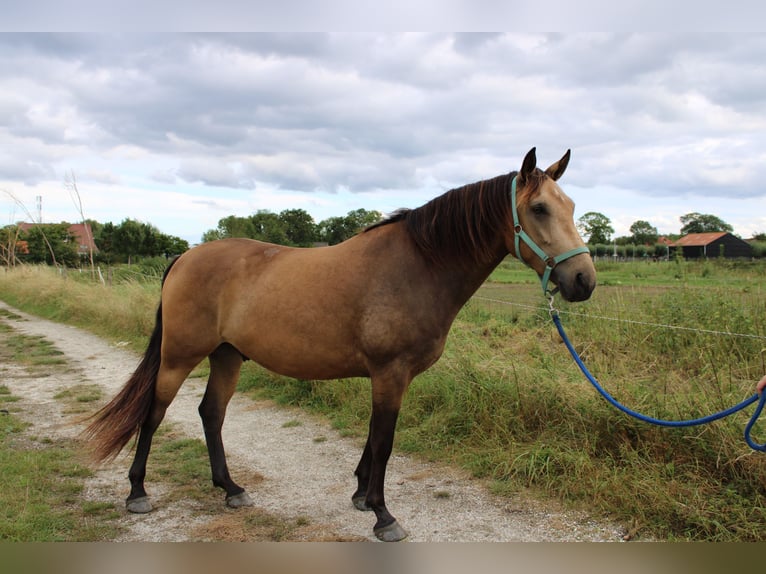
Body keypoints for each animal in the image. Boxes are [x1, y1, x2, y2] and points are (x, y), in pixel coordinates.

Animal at [84, 150, 600, 544]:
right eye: (539, 209)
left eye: (572, 205)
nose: (583, 281)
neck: (419, 266)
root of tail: (185, 256)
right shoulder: (389, 372)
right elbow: (385, 441)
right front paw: (383, 515)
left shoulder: (389, 376)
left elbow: (373, 436)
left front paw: (359, 497)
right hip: (179, 356)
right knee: (154, 413)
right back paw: (137, 493)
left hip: (227, 356)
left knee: (211, 413)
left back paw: (230, 488)